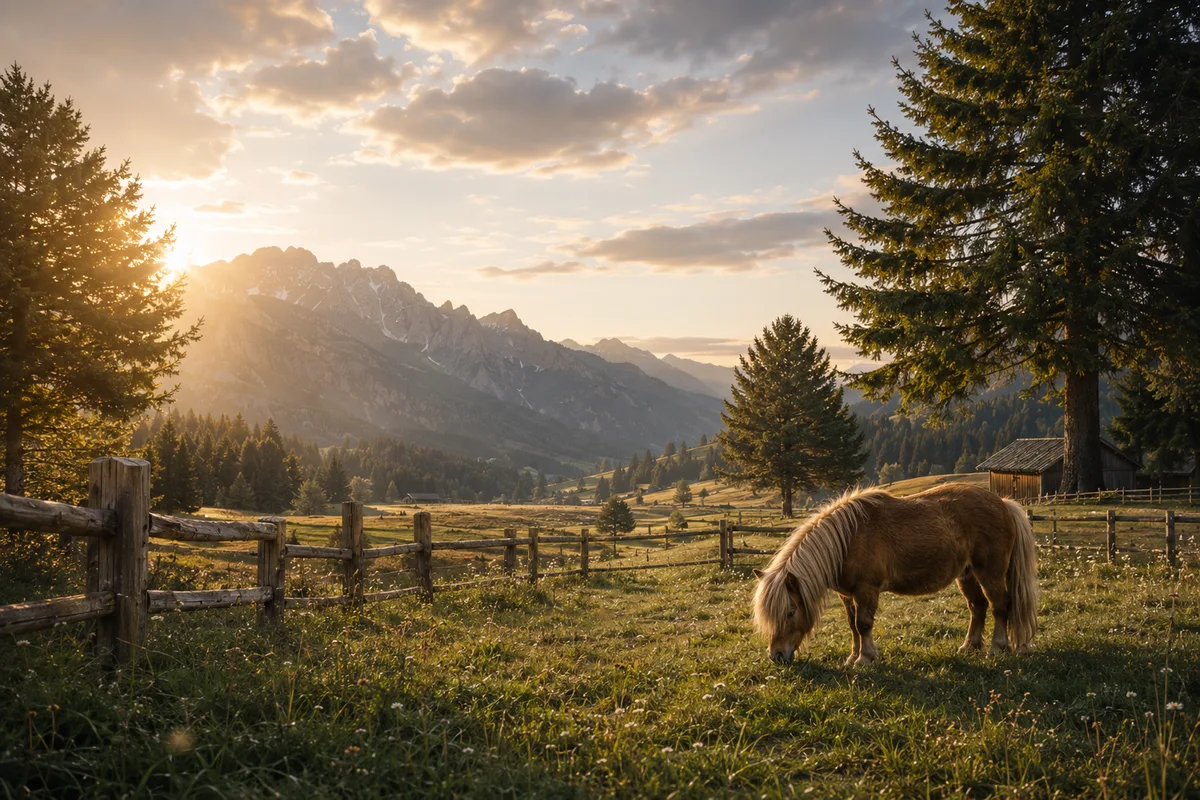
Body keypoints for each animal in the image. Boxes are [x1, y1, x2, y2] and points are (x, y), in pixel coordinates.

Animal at [751, 483, 1038, 666]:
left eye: (790, 612)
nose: (776, 656)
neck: (848, 539)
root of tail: (1003, 503)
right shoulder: (847, 595)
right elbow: (852, 626)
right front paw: (852, 657)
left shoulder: (866, 590)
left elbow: (863, 624)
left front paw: (865, 659)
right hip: (966, 575)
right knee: (977, 606)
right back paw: (969, 646)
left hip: (989, 572)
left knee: (999, 605)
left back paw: (997, 648)